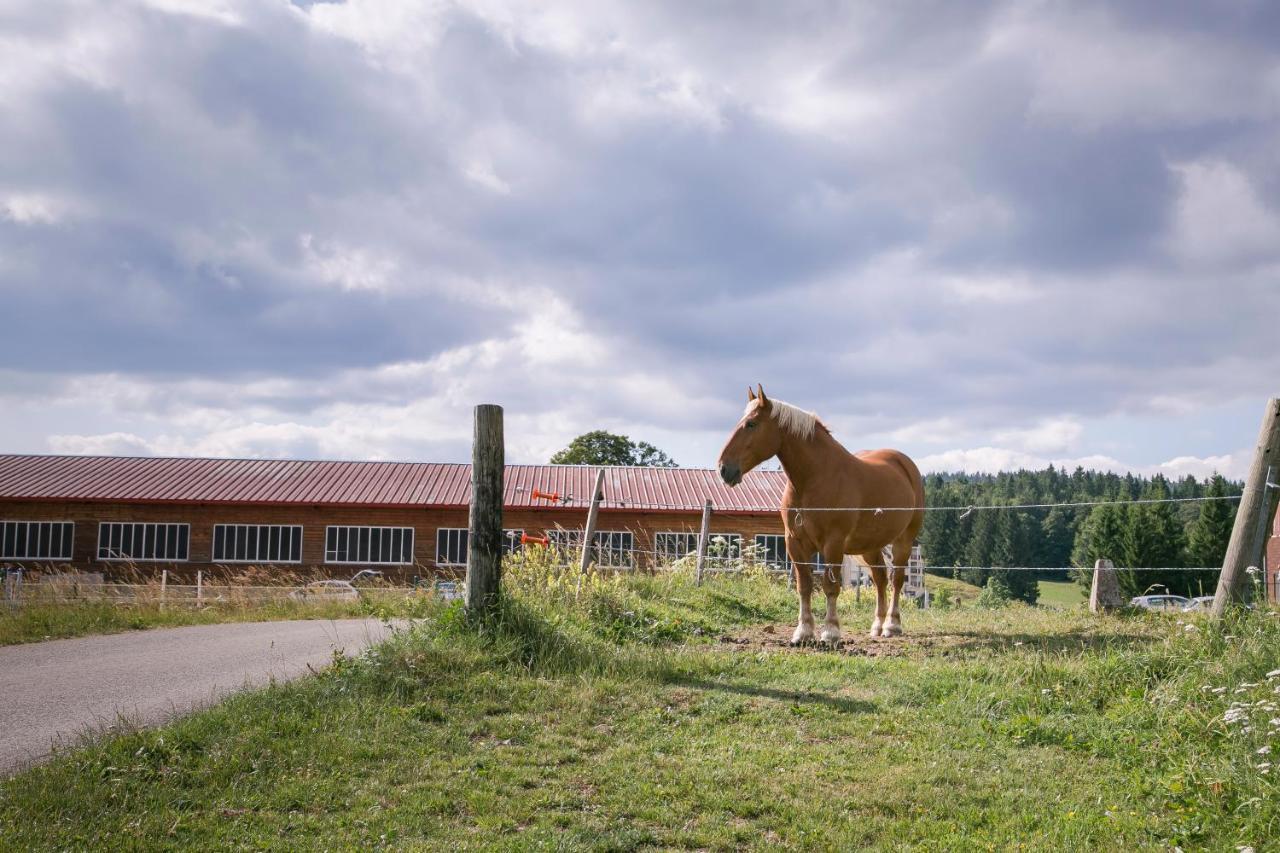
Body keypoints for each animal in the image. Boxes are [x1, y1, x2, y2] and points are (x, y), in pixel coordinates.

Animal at [716, 384, 926, 637]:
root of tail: (905, 465)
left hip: (903, 540)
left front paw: (831, 631)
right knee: (880, 579)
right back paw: (877, 625)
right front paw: (804, 631)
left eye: (751, 424)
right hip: (870, 546)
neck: (815, 479)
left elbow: (830, 586)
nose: (723, 468)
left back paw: (892, 625)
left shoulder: (833, 543)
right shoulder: (794, 542)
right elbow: (804, 586)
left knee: (897, 579)